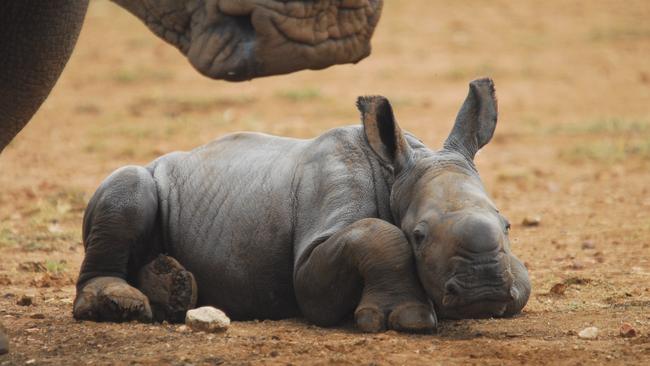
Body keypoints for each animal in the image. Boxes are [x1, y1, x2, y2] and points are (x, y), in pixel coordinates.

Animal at [73, 78, 528, 334]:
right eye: (419, 236)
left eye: (507, 225)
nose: (485, 288)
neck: (396, 172)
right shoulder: (312, 261)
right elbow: (376, 235)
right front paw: (406, 320)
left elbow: (523, 284)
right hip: (138, 179)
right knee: (129, 187)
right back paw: (122, 304)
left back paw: (174, 293)